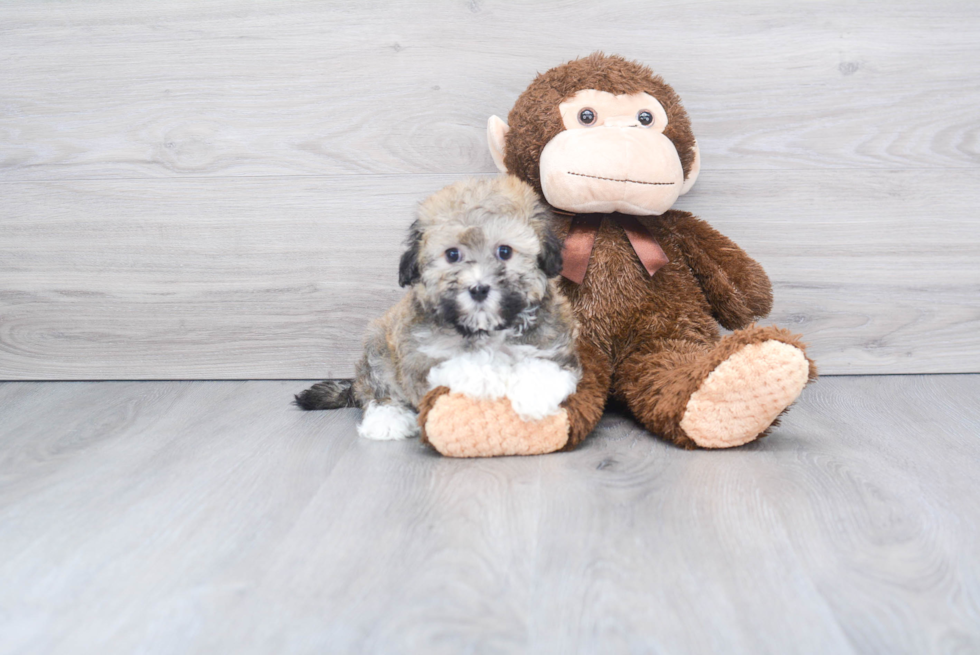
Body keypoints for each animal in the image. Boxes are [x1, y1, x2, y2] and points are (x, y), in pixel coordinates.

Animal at [294, 174, 580, 444]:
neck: (483, 329)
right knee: (378, 388)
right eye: (452, 255)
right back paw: (387, 420)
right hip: (378, 344)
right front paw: (490, 378)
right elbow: (467, 369)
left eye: (505, 251)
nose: (478, 289)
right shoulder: (420, 357)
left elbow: (545, 369)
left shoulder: (552, 344)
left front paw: (534, 396)